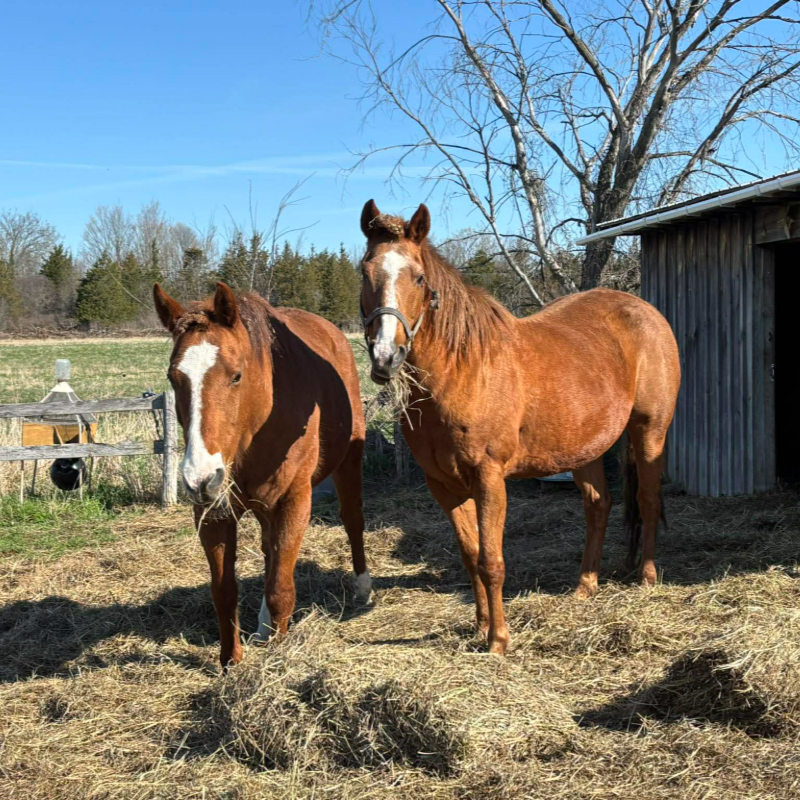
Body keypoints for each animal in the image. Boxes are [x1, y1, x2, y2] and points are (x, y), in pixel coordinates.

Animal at [153, 282, 372, 667]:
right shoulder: (214, 513)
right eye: (173, 377)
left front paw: (278, 659)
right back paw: (264, 627)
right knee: (270, 552)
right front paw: (231, 663)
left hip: (349, 461)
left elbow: (281, 589)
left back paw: (361, 585)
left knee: (352, 520)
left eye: (236, 375)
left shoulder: (294, 502)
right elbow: (224, 592)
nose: (200, 478)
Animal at [358, 200, 681, 655]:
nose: (386, 357)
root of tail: (645, 311)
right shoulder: (444, 485)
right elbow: (469, 555)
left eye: (419, 277)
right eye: (364, 271)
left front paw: (498, 640)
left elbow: (491, 560)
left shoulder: (489, 478)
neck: (462, 370)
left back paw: (647, 578)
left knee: (648, 500)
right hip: (586, 446)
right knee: (598, 505)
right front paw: (479, 627)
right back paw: (585, 586)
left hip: (650, 430)